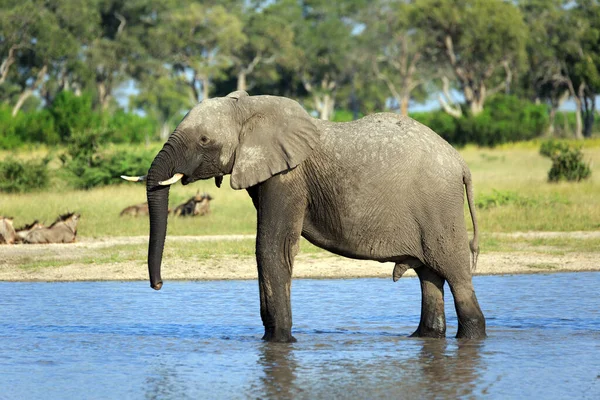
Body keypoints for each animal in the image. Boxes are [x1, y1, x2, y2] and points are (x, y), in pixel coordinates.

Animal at [129, 91, 486, 344]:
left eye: (204, 140)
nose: (158, 285)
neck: (249, 108)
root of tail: (462, 164)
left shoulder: (288, 175)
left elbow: (272, 246)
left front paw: (279, 342)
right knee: (430, 276)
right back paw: (424, 337)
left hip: (439, 205)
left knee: (456, 275)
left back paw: (471, 337)